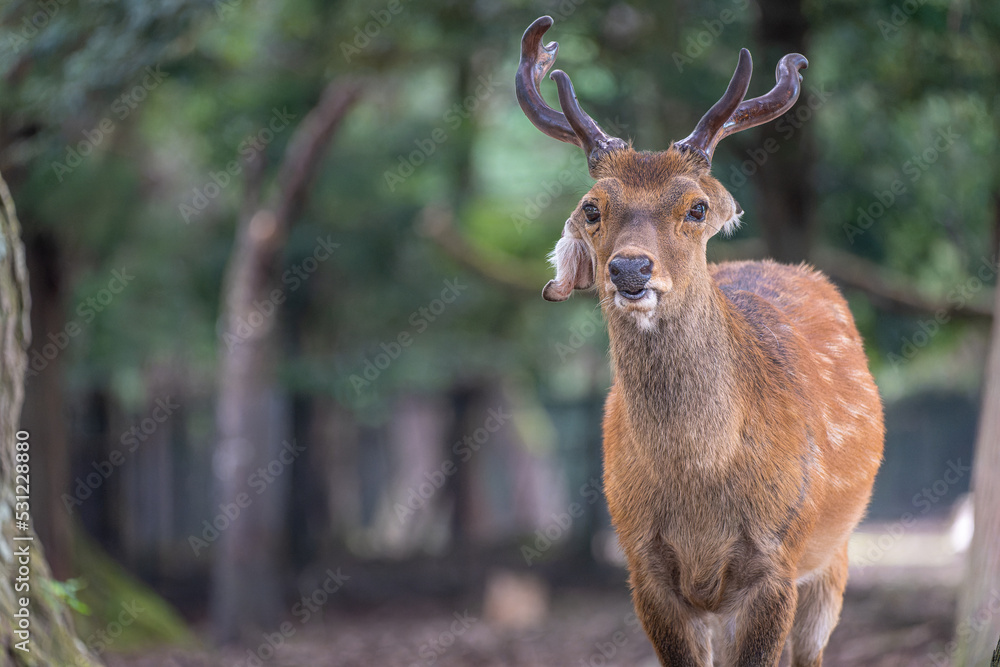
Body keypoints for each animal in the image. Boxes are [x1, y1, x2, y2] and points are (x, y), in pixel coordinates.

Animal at [515, 16, 884, 667]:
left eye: (697, 206)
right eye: (592, 208)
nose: (630, 269)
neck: (701, 488)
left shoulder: (777, 560)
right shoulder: (643, 563)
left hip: (834, 553)